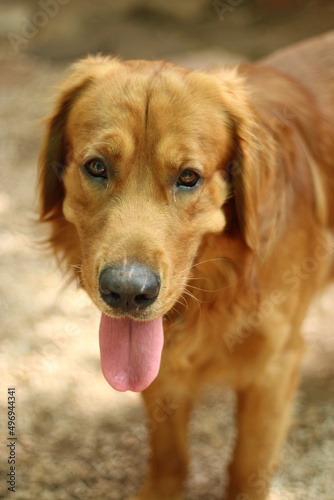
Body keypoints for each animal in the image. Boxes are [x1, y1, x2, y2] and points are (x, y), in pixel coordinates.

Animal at [37, 32, 334, 500]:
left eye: (189, 177)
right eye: (97, 167)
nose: (127, 291)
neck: (223, 287)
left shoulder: (275, 367)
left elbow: (247, 467)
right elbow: (169, 456)